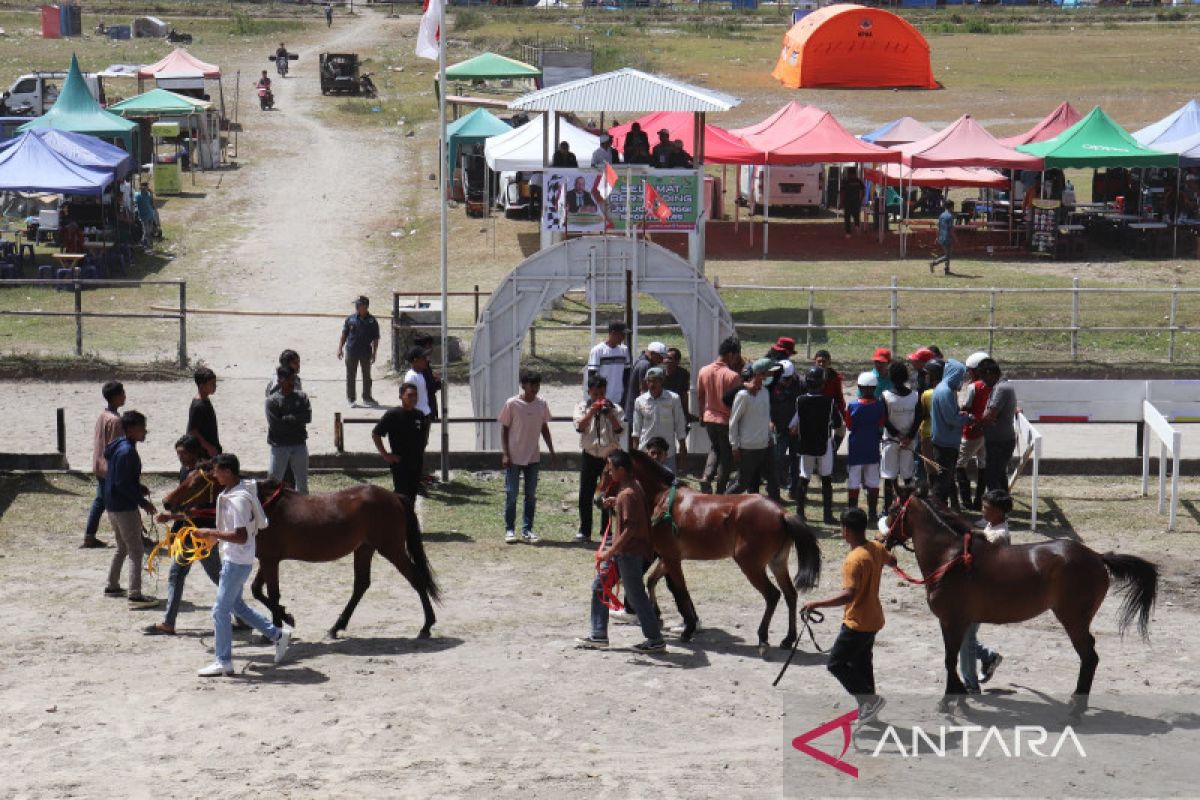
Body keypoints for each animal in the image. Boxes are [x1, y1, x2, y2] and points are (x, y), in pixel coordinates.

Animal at [162, 470, 439, 638]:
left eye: (195, 482)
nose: (166, 502)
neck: (262, 507)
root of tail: (394, 496)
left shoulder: (271, 560)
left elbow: (271, 593)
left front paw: (279, 625)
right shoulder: (267, 559)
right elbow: (257, 590)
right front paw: (285, 618)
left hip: (391, 548)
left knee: (416, 579)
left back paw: (426, 626)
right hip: (364, 549)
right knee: (361, 584)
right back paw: (337, 626)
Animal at [595, 450, 820, 652]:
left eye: (606, 471)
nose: (597, 499)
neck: (663, 499)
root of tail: (781, 513)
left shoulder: (671, 559)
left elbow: (681, 591)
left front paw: (688, 629)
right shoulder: (668, 558)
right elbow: (652, 581)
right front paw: (659, 615)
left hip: (751, 565)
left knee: (773, 595)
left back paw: (763, 636)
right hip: (777, 563)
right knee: (790, 595)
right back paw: (788, 639)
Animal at [883, 491, 1152, 714]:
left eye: (894, 510)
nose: (882, 538)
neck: (951, 558)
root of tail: (1097, 556)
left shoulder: (952, 622)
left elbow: (950, 660)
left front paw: (952, 700)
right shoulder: (958, 623)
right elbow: (954, 658)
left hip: (1073, 621)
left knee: (1089, 658)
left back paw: (1076, 710)